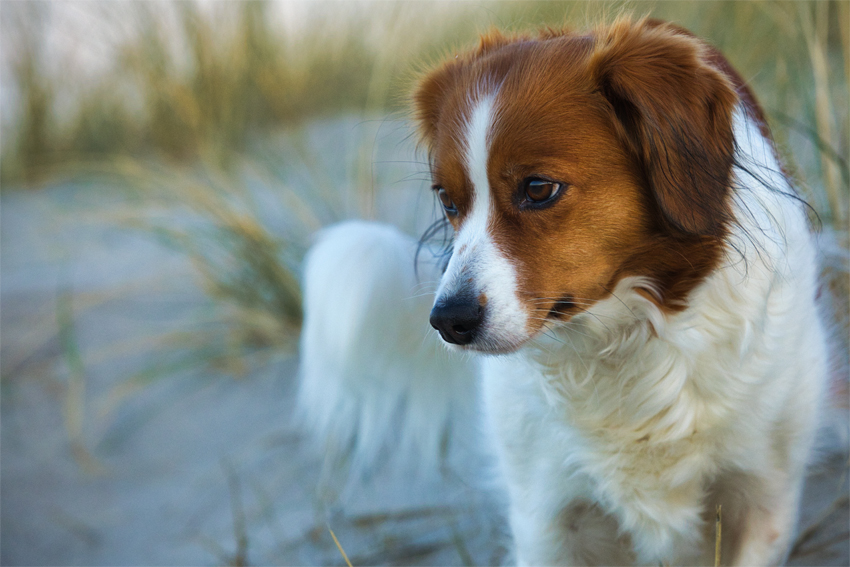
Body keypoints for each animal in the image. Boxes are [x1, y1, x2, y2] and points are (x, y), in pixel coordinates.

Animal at [296, 18, 836, 567]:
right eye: (448, 200)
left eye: (538, 189)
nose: (449, 320)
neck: (625, 342)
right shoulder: (548, 520)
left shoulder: (763, 501)